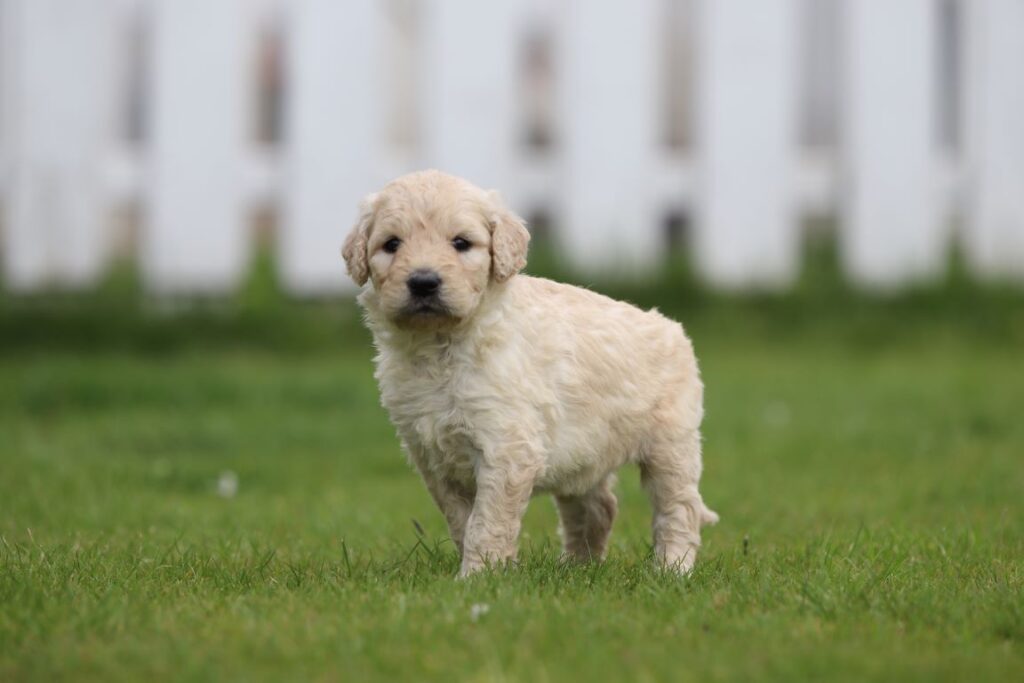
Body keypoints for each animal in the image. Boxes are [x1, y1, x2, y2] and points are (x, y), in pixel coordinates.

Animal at [339, 171, 716, 577]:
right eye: (391, 244)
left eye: (461, 243)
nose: (423, 281)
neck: (440, 346)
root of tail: (672, 327)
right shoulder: (432, 457)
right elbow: (461, 520)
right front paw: (487, 570)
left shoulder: (507, 445)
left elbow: (487, 520)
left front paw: (477, 576)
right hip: (584, 452)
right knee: (597, 506)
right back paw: (576, 567)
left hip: (671, 445)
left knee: (678, 507)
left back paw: (672, 569)